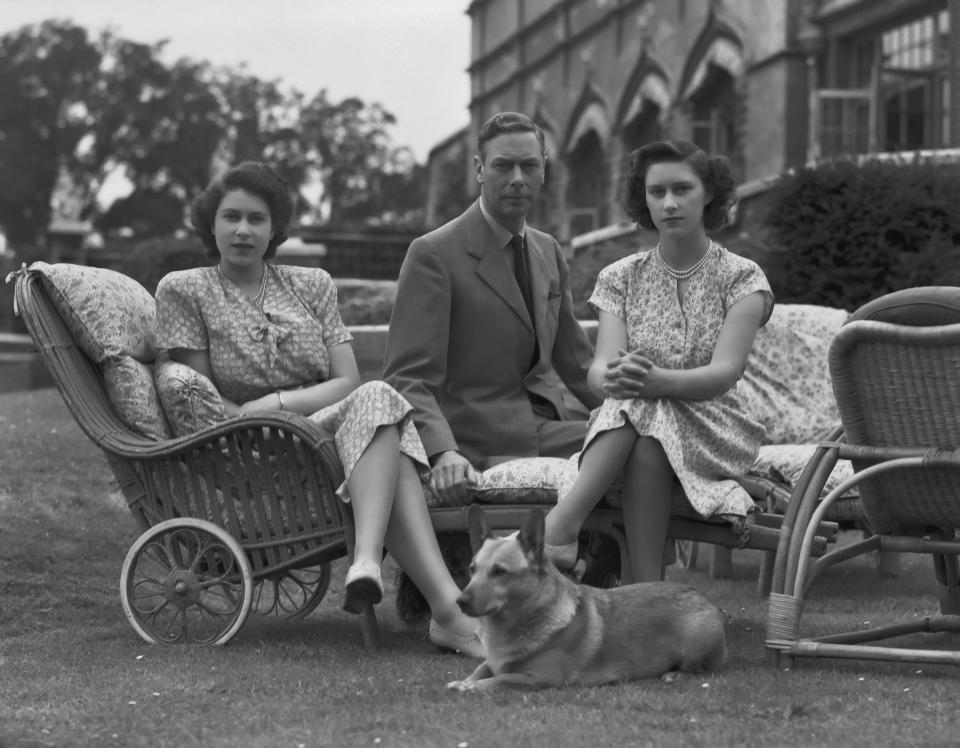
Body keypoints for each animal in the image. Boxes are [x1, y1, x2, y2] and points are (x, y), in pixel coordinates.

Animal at [450, 506, 728, 692]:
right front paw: (464, 681)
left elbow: (501, 679)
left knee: (704, 670)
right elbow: (481, 669)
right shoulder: (492, 662)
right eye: (472, 569)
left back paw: (677, 675)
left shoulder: (541, 678)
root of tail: (705, 598)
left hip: (694, 646)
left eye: (499, 572)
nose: (460, 602)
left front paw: (470, 687)